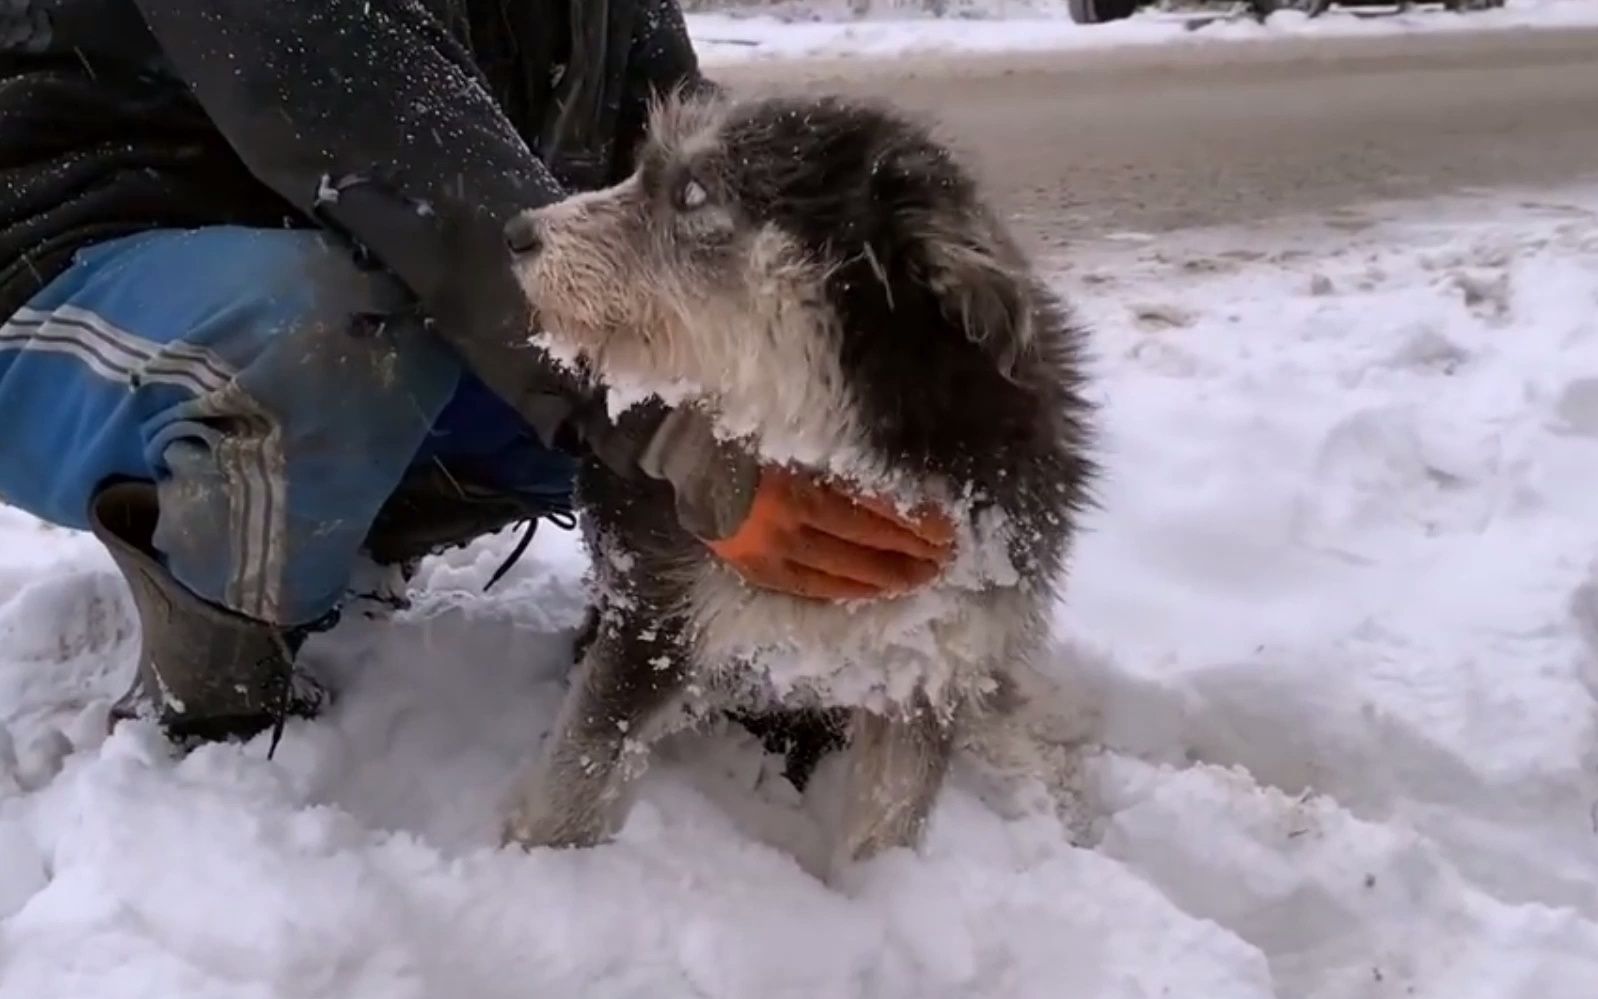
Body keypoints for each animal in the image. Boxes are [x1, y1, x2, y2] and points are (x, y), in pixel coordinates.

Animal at [504, 89, 1093, 875]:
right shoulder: (659, 615)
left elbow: (889, 822)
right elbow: (582, 773)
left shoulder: (929, 664)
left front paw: (882, 892)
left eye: (693, 191)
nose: (515, 231)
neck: (835, 454)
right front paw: (540, 866)